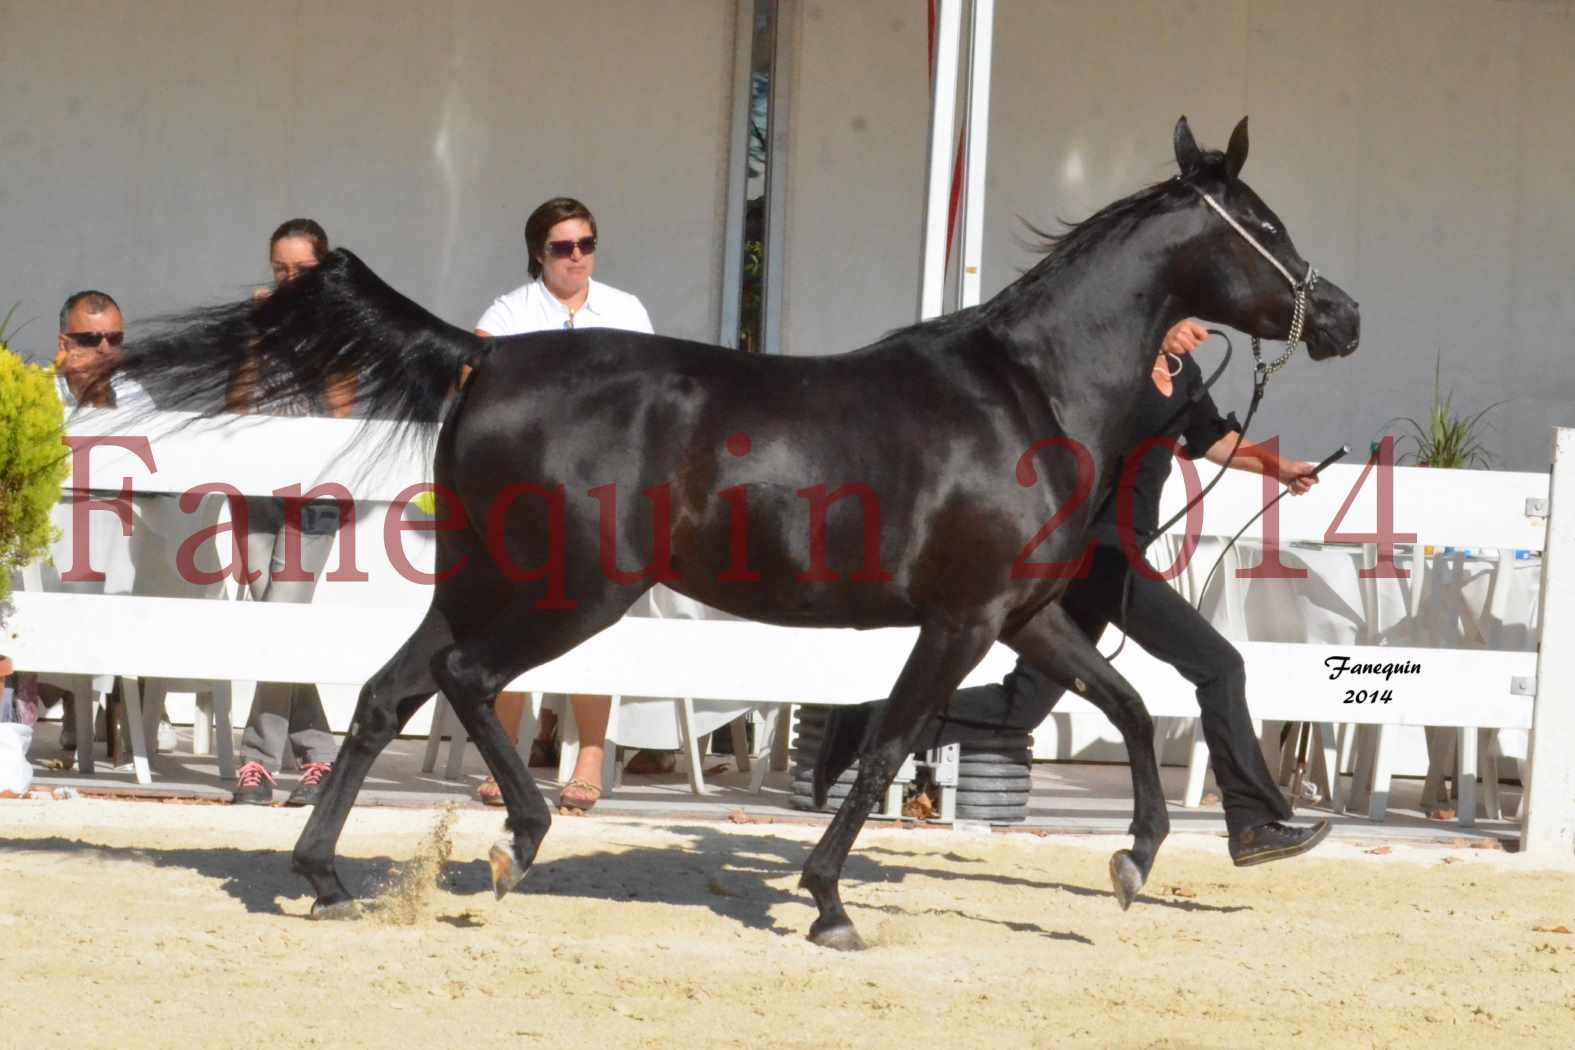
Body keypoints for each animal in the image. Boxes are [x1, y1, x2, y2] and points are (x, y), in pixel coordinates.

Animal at [111, 118, 1360, 950]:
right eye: (1264, 225)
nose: (1342, 315)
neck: (1028, 391)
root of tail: (489, 356)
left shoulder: (1026, 615)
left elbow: (1132, 710)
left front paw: (1135, 863)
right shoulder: (960, 621)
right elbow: (891, 745)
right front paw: (830, 903)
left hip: (483, 578)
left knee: (383, 694)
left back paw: (323, 875)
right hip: (570, 590)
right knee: (466, 680)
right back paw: (517, 840)